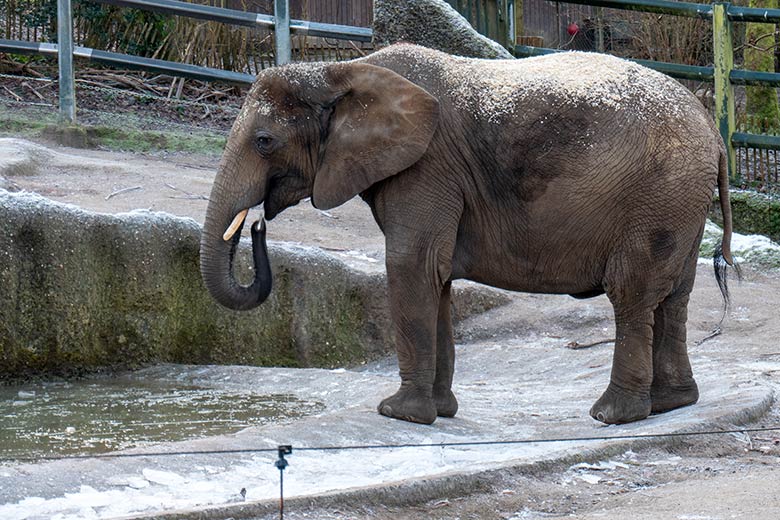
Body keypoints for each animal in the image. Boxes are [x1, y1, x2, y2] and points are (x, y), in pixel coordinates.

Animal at [198, 42, 736, 426]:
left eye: (264, 141)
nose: (257, 222)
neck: (344, 70)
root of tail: (712, 129)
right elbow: (433, 276)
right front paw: (439, 412)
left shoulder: (426, 168)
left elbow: (411, 264)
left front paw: (399, 414)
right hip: (680, 202)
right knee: (674, 296)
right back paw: (672, 404)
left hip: (658, 194)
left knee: (632, 293)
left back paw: (613, 415)